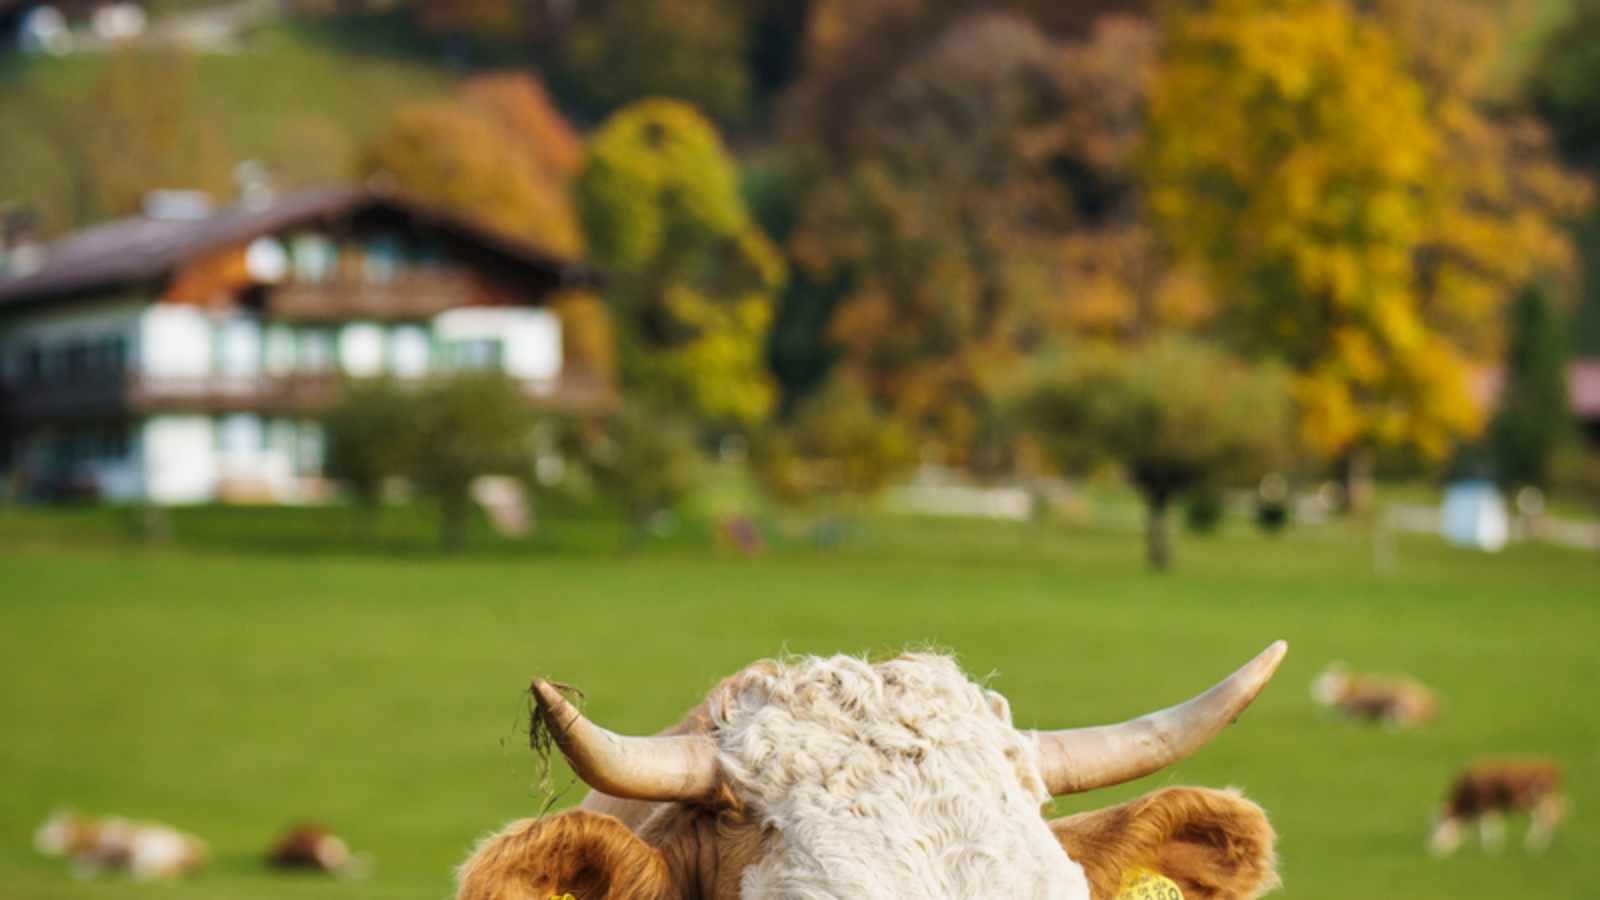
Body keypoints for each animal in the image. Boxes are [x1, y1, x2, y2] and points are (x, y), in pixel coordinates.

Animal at [1427, 755, 1561, 851]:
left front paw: (1490, 848)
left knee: (1545, 819)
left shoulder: (1487, 804)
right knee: (1547, 819)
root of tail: (1549, 766)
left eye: (1439, 828)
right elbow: (1489, 825)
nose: (1431, 849)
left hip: (1540, 800)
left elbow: (1488, 825)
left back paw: (1534, 846)